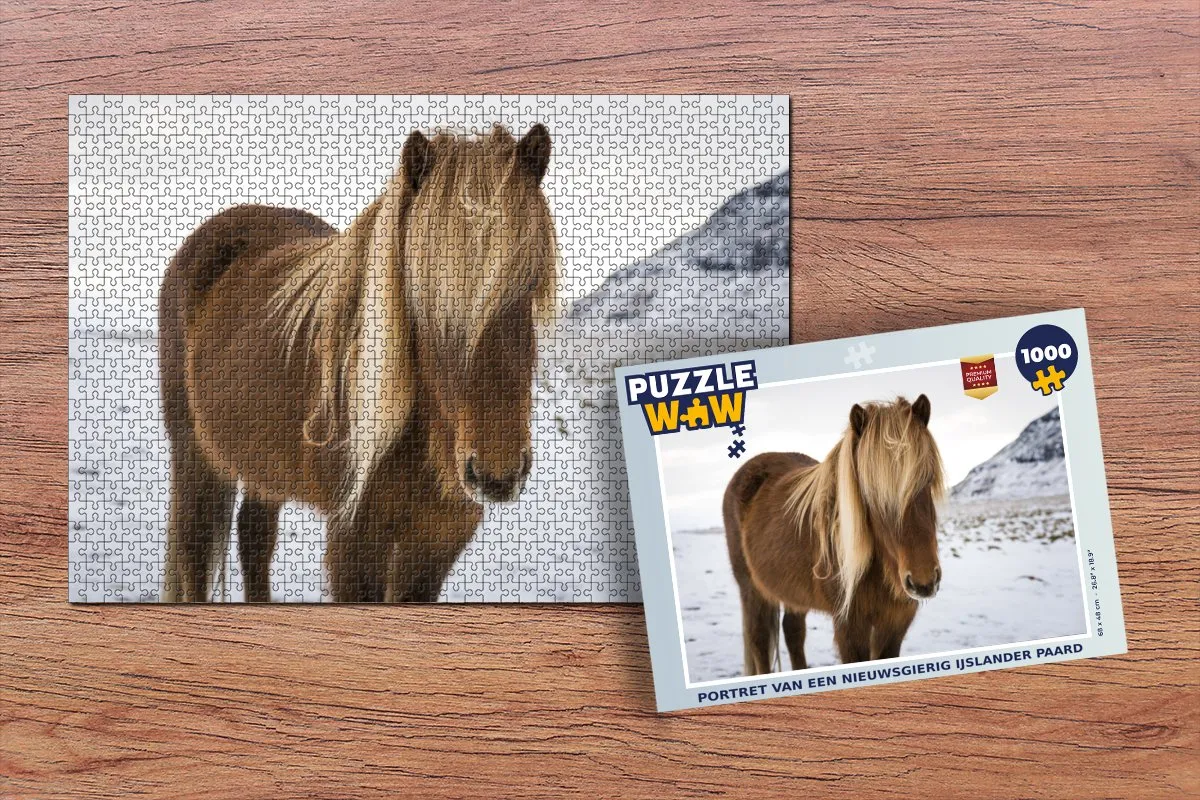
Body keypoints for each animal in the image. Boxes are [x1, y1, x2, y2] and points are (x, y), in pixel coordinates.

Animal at [158, 124, 558, 603]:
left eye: (529, 284)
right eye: (419, 295)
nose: (497, 473)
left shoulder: (437, 542)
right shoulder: (354, 542)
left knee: (254, 537)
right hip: (195, 458)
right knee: (194, 553)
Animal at [723, 395, 945, 673]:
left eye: (927, 478)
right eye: (868, 492)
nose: (923, 581)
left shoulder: (895, 624)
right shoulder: (849, 627)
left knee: (793, 632)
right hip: (752, 591)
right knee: (759, 640)